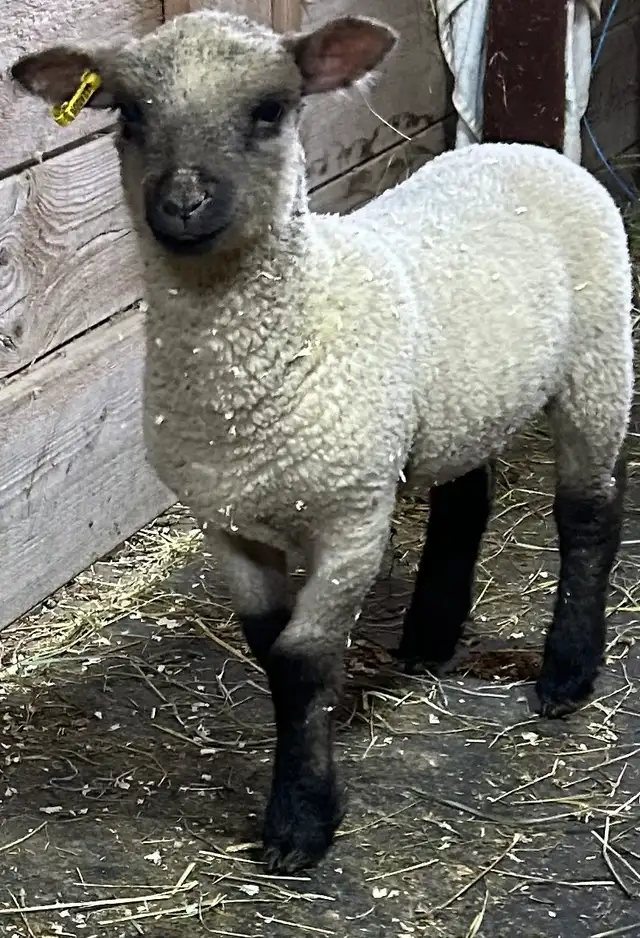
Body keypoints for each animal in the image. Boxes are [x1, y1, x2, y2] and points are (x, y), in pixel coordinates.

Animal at [11, 9, 634, 875]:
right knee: (467, 496)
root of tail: (519, 146)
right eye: (128, 115)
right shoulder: (227, 523)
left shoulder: (352, 519)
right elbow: (270, 653)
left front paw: (301, 823)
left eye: (271, 110)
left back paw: (568, 674)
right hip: (463, 399)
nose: (184, 201)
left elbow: (305, 658)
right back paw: (430, 635)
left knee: (589, 513)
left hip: (598, 359)